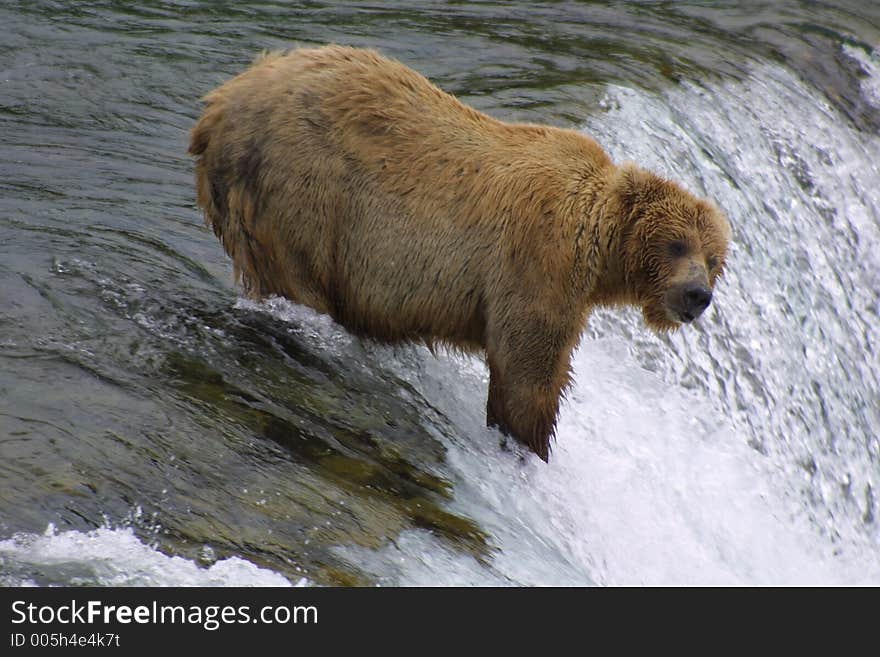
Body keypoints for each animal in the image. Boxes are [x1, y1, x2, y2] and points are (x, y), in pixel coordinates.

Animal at [189, 44, 732, 462]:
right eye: (677, 243)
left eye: (714, 260)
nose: (697, 295)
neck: (600, 248)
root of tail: (219, 103)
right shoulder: (539, 257)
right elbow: (528, 369)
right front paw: (530, 443)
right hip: (302, 192)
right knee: (299, 276)